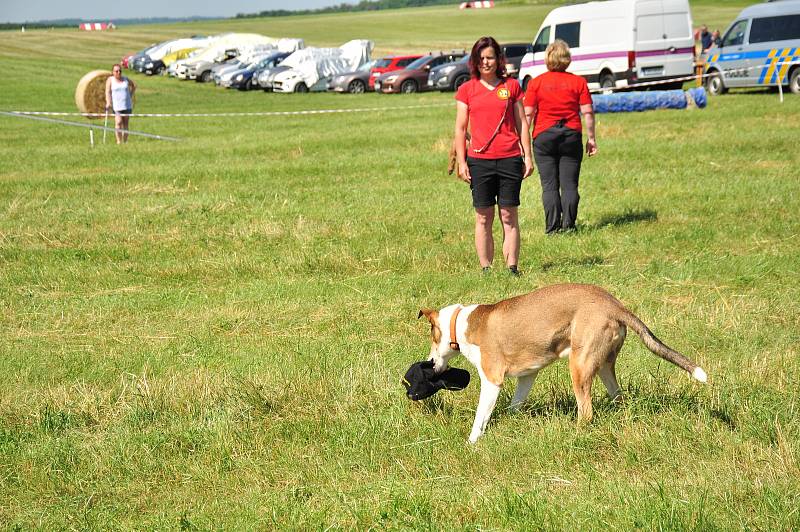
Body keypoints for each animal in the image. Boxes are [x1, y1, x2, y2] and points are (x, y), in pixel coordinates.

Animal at [418, 284, 708, 442]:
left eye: (432, 336)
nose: (429, 362)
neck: (461, 324)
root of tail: (615, 304)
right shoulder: (528, 375)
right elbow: (515, 404)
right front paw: (513, 422)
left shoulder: (492, 378)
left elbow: (481, 416)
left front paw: (472, 441)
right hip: (603, 366)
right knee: (618, 397)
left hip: (579, 366)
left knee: (586, 411)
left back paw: (576, 433)